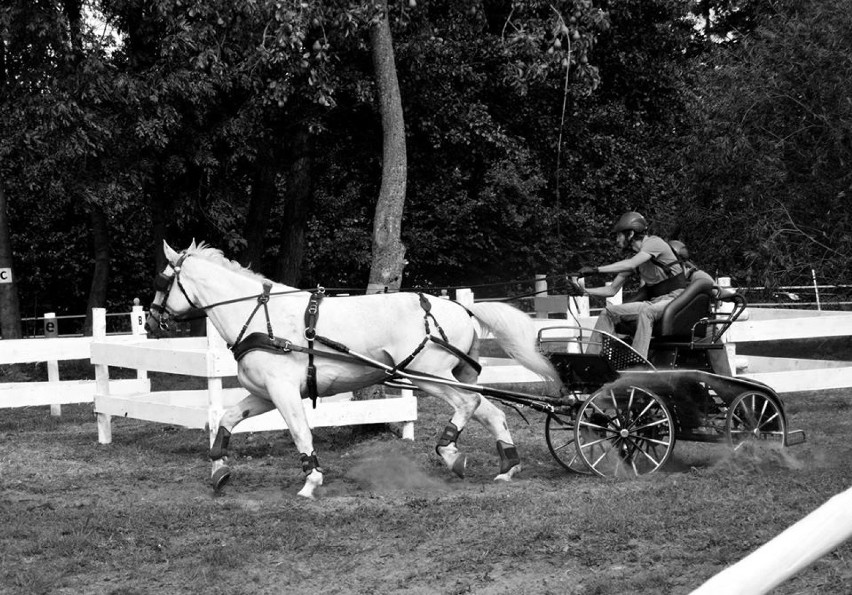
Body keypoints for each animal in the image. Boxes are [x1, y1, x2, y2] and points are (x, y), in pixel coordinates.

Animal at [145, 241, 560, 498]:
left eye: (161, 281)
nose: (150, 321)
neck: (260, 316)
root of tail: (461, 307)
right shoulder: (263, 393)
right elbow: (226, 419)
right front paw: (219, 471)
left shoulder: (283, 392)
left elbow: (300, 433)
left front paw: (311, 481)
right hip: (454, 377)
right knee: (492, 411)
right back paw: (507, 466)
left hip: (430, 376)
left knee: (467, 405)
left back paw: (449, 452)